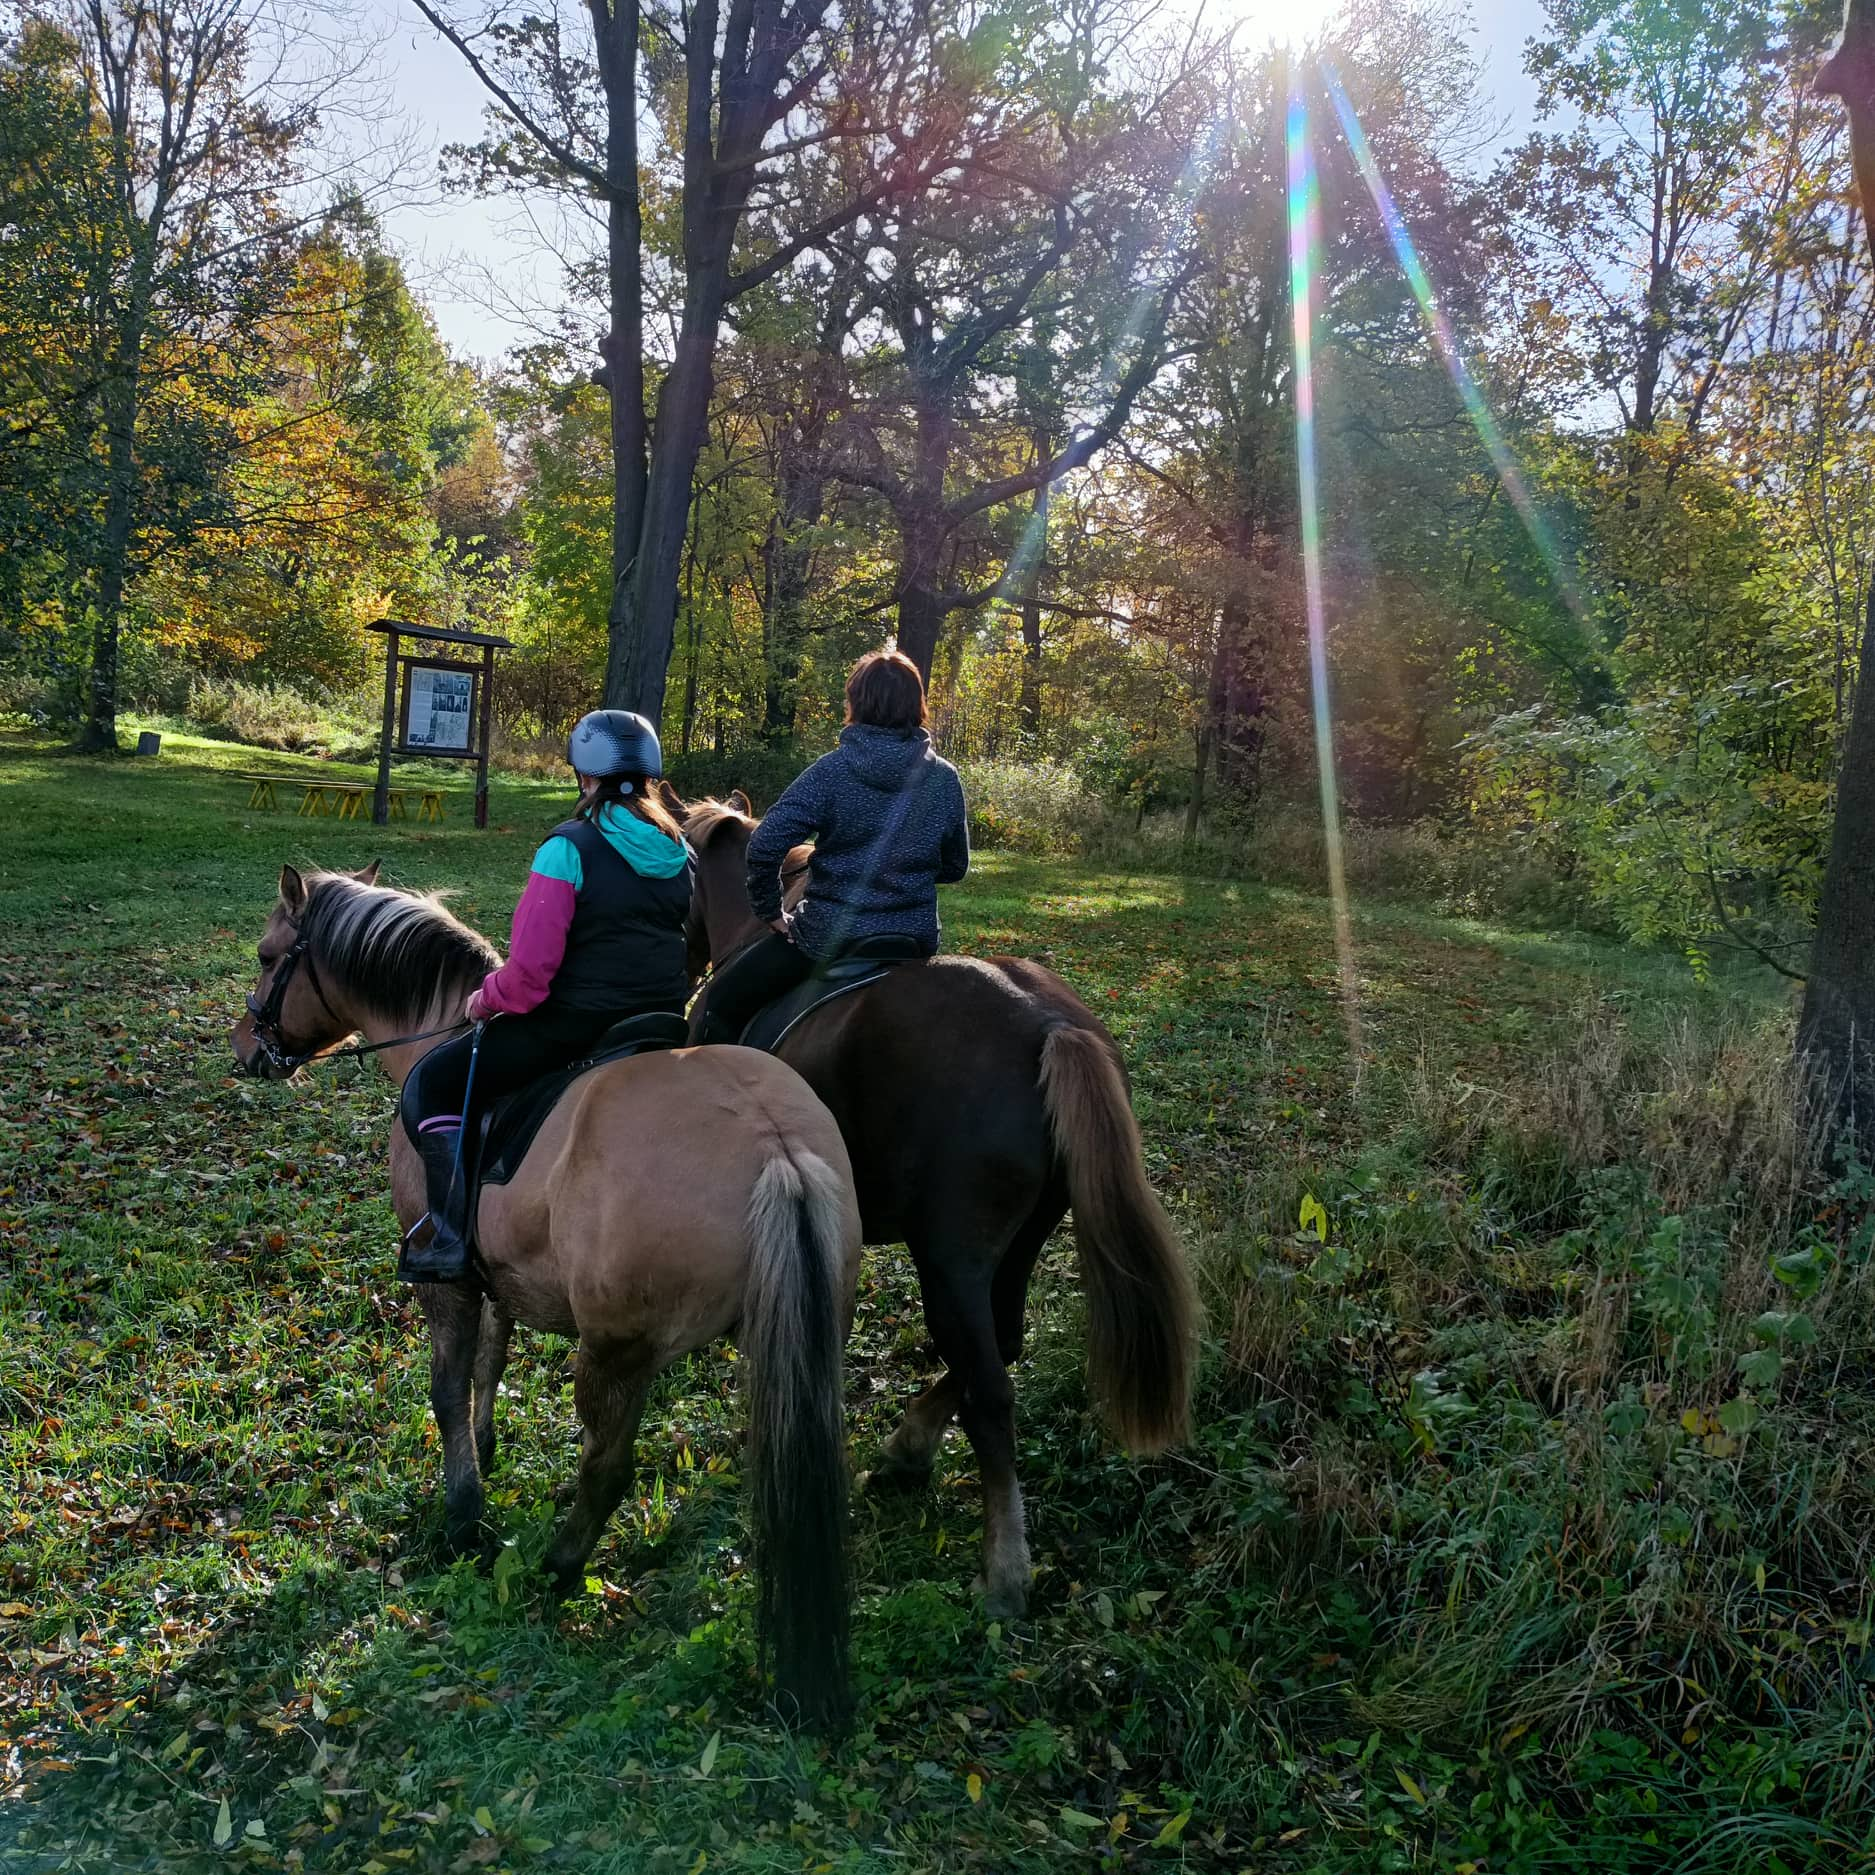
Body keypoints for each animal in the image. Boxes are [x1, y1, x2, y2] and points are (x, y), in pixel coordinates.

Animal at [228, 858, 862, 1717]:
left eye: (269, 957)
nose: (244, 1047)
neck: (445, 1033)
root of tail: (777, 1144)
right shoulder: (493, 1272)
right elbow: (489, 1362)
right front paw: (487, 1447)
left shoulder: (445, 1280)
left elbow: (446, 1384)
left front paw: (464, 1514)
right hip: (784, 1343)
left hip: (615, 1351)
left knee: (607, 1467)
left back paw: (558, 1566)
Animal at [675, 787, 1200, 1612]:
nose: (686, 957)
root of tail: (1051, 1026)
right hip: (1017, 1238)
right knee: (1003, 1342)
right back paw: (910, 1446)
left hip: (949, 1253)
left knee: (989, 1385)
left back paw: (1003, 1566)